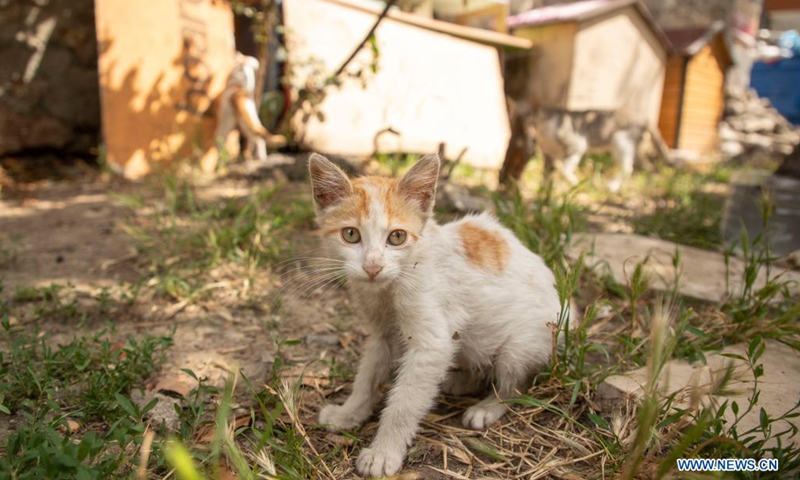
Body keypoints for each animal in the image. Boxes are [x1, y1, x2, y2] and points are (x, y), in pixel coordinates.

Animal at [310, 153, 560, 476]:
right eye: (350, 234)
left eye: (397, 237)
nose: (373, 267)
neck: (389, 289)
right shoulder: (382, 335)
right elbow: (368, 377)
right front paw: (349, 413)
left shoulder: (431, 345)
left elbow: (404, 403)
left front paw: (383, 453)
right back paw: (461, 381)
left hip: (521, 346)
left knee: (514, 384)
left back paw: (488, 406)